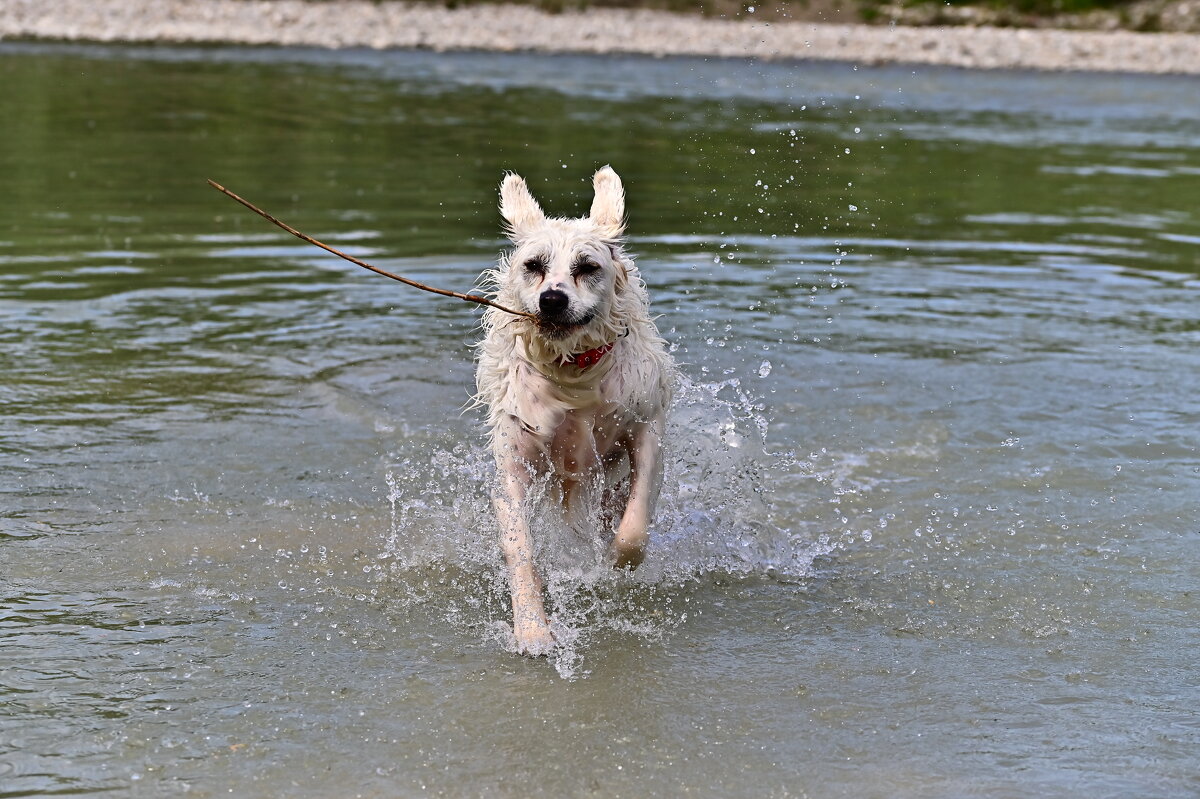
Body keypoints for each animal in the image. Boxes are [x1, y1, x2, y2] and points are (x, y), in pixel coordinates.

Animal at [470, 166, 676, 652]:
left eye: (587, 267)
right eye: (534, 266)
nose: (552, 299)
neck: (573, 370)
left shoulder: (645, 428)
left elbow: (634, 527)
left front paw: (614, 565)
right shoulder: (516, 457)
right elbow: (520, 548)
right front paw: (533, 631)